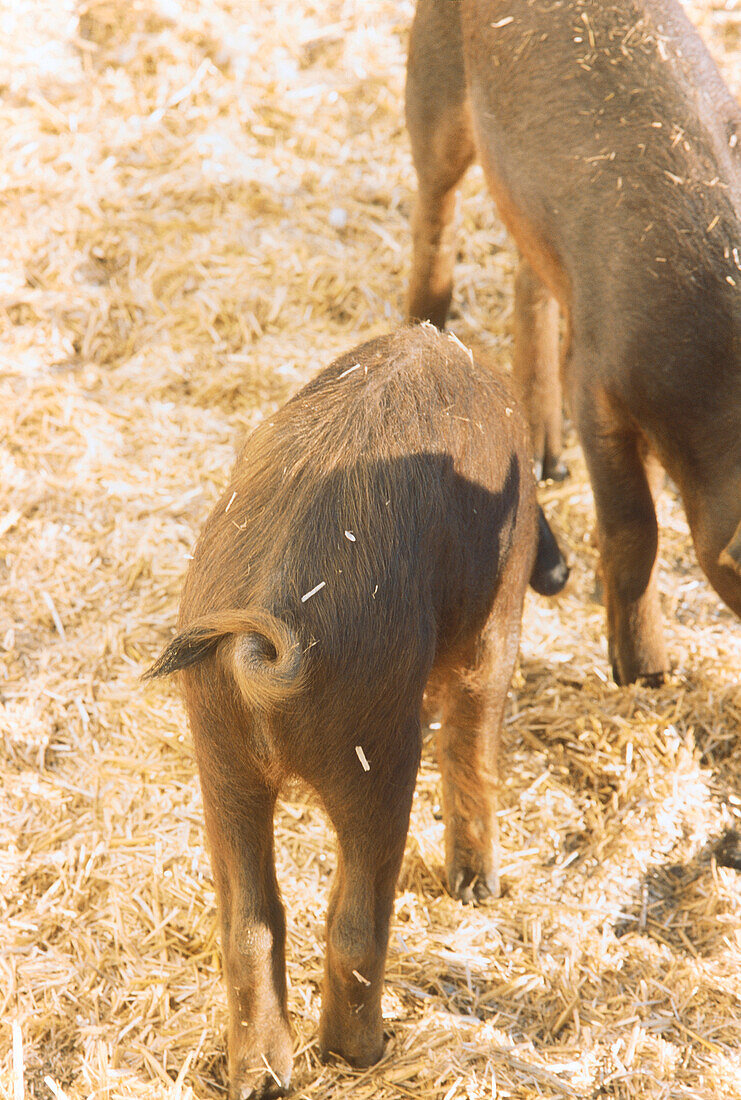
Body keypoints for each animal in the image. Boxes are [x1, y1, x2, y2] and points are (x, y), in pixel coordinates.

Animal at [142, 321, 567, 1095]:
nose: (561, 570)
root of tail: (270, 635)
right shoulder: (492, 631)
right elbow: (473, 742)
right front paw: (479, 891)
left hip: (217, 749)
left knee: (250, 922)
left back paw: (261, 1077)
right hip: (374, 753)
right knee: (355, 922)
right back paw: (363, 1052)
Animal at [404, 2, 738, 686]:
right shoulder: (600, 385)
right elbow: (636, 530)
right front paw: (645, 677)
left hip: (534, 211)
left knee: (529, 278)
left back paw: (548, 463)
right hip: (435, 82)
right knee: (435, 205)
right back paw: (426, 319)